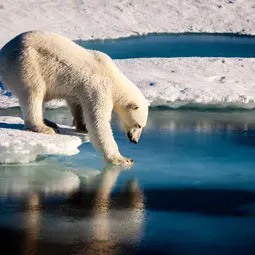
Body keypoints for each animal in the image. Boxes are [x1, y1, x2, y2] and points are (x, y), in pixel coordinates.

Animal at [0, 30, 148, 165]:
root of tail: (3, 52)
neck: (113, 78)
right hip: (27, 64)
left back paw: (49, 122)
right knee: (34, 92)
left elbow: (77, 104)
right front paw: (121, 159)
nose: (134, 140)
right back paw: (44, 127)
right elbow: (98, 121)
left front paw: (82, 126)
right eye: (139, 125)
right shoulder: (99, 88)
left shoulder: (81, 89)